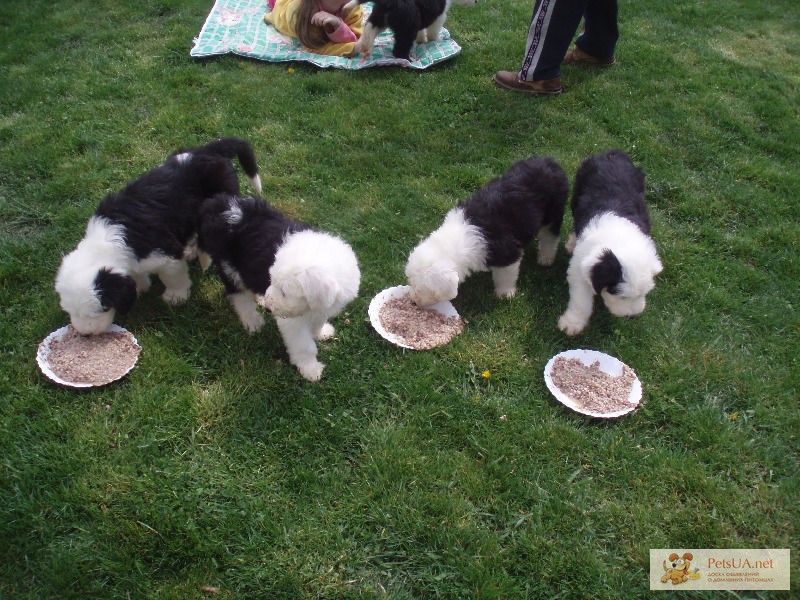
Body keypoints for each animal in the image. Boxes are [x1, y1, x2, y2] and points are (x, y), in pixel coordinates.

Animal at [56, 137, 262, 336]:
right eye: (69, 311)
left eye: (100, 310)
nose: (85, 334)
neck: (105, 243)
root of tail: (206, 150)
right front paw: (141, 286)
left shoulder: (165, 255)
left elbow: (173, 276)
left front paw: (176, 296)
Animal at [198, 195, 360, 382]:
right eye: (272, 280)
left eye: (284, 292)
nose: (269, 308)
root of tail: (223, 205)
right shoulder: (292, 322)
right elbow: (304, 345)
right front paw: (310, 368)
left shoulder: (322, 310)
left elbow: (317, 324)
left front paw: (321, 333)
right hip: (230, 267)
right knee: (239, 296)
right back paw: (252, 320)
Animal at [344, 0, 476, 60]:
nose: (476, 2)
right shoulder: (438, 16)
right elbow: (433, 32)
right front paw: (434, 40)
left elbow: (421, 32)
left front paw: (421, 41)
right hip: (407, 27)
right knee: (399, 50)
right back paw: (409, 59)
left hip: (378, 18)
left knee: (367, 32)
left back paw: (361, 50)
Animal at [406, 156, 568, 304]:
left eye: (421, 289)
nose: (413, 301)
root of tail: (550, 161)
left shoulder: (507, 254)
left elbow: (505, 276)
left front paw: (505, 294)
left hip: (553, 212)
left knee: (550, 236)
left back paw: (545, 258)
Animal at [556, 149, 664, 336]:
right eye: (622, 296)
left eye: (643, 293)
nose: (632, 316)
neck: (620, 239)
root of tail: (612, 153)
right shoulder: (579, 267)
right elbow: (581, 299)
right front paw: (572, 323)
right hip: (577, 192)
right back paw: (571, 243)